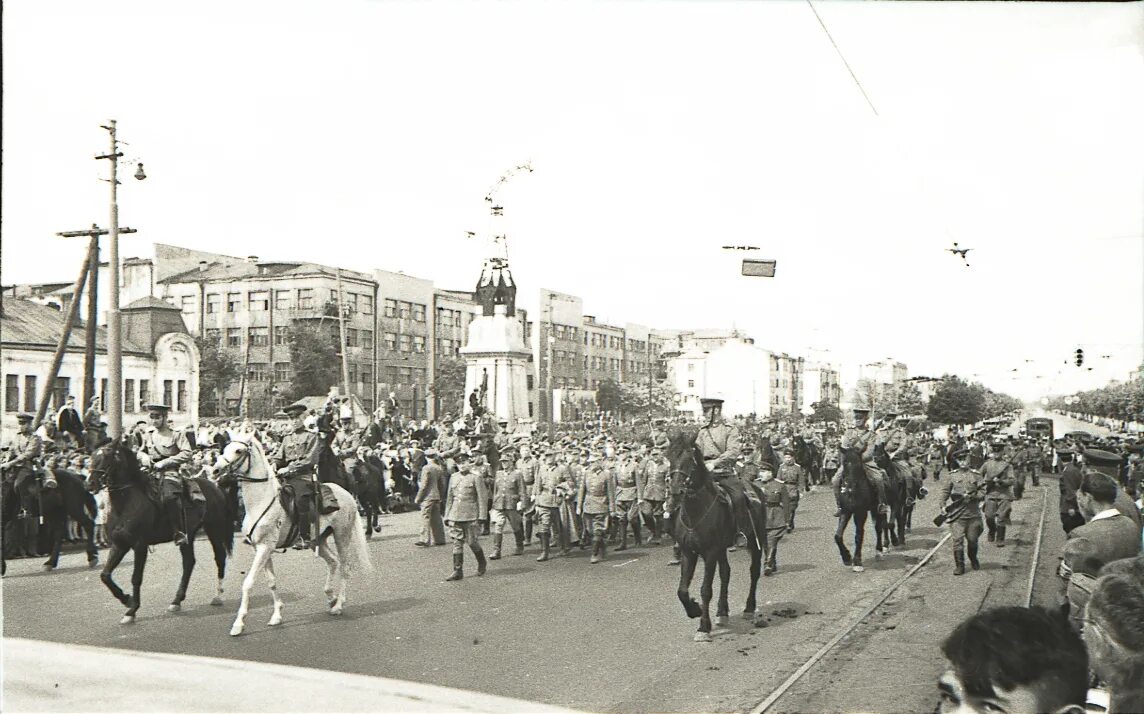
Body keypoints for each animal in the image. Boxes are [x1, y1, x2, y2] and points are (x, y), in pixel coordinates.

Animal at [90, 441, 233, 622]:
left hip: (214, 529)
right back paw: (176, 601)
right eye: (92, 456)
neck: (125, 503)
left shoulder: (140, 545)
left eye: (106, 457)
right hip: (189, 535)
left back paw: (217, 596)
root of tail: (215, 486)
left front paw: (132, 610)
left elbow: (136, 578)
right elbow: (105, 575)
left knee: (219, 558)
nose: (90, 483)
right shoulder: (119, 544)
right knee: (189, 563)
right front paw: (127, 600)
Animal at [212, 430, 372, 636]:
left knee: (345, 567)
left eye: (238, 451)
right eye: (224, 448)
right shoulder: (261, 549)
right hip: (318, 540)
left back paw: (338, 605)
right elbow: (271, 582)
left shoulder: (265, 547)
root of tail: (346, 493)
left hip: (342, 536)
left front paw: (238, 624)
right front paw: (277, 616)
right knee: (333, 562)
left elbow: (248, 583)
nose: (215, 471)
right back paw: (331, 598)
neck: (260, 501)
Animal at [663, 432, 768, 645]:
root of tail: (756, 489)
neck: (695, 512)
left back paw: (749, 608)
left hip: (755, 541)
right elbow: (682, 590)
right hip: (722, 549)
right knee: (726, 573)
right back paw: (722, 612)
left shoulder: (709, 553)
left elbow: (705, 589)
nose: (676, 491)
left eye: (689, 459)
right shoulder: (689, 552)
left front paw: (703, 627)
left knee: (753, 571)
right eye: (668, 457)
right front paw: (694, 610)